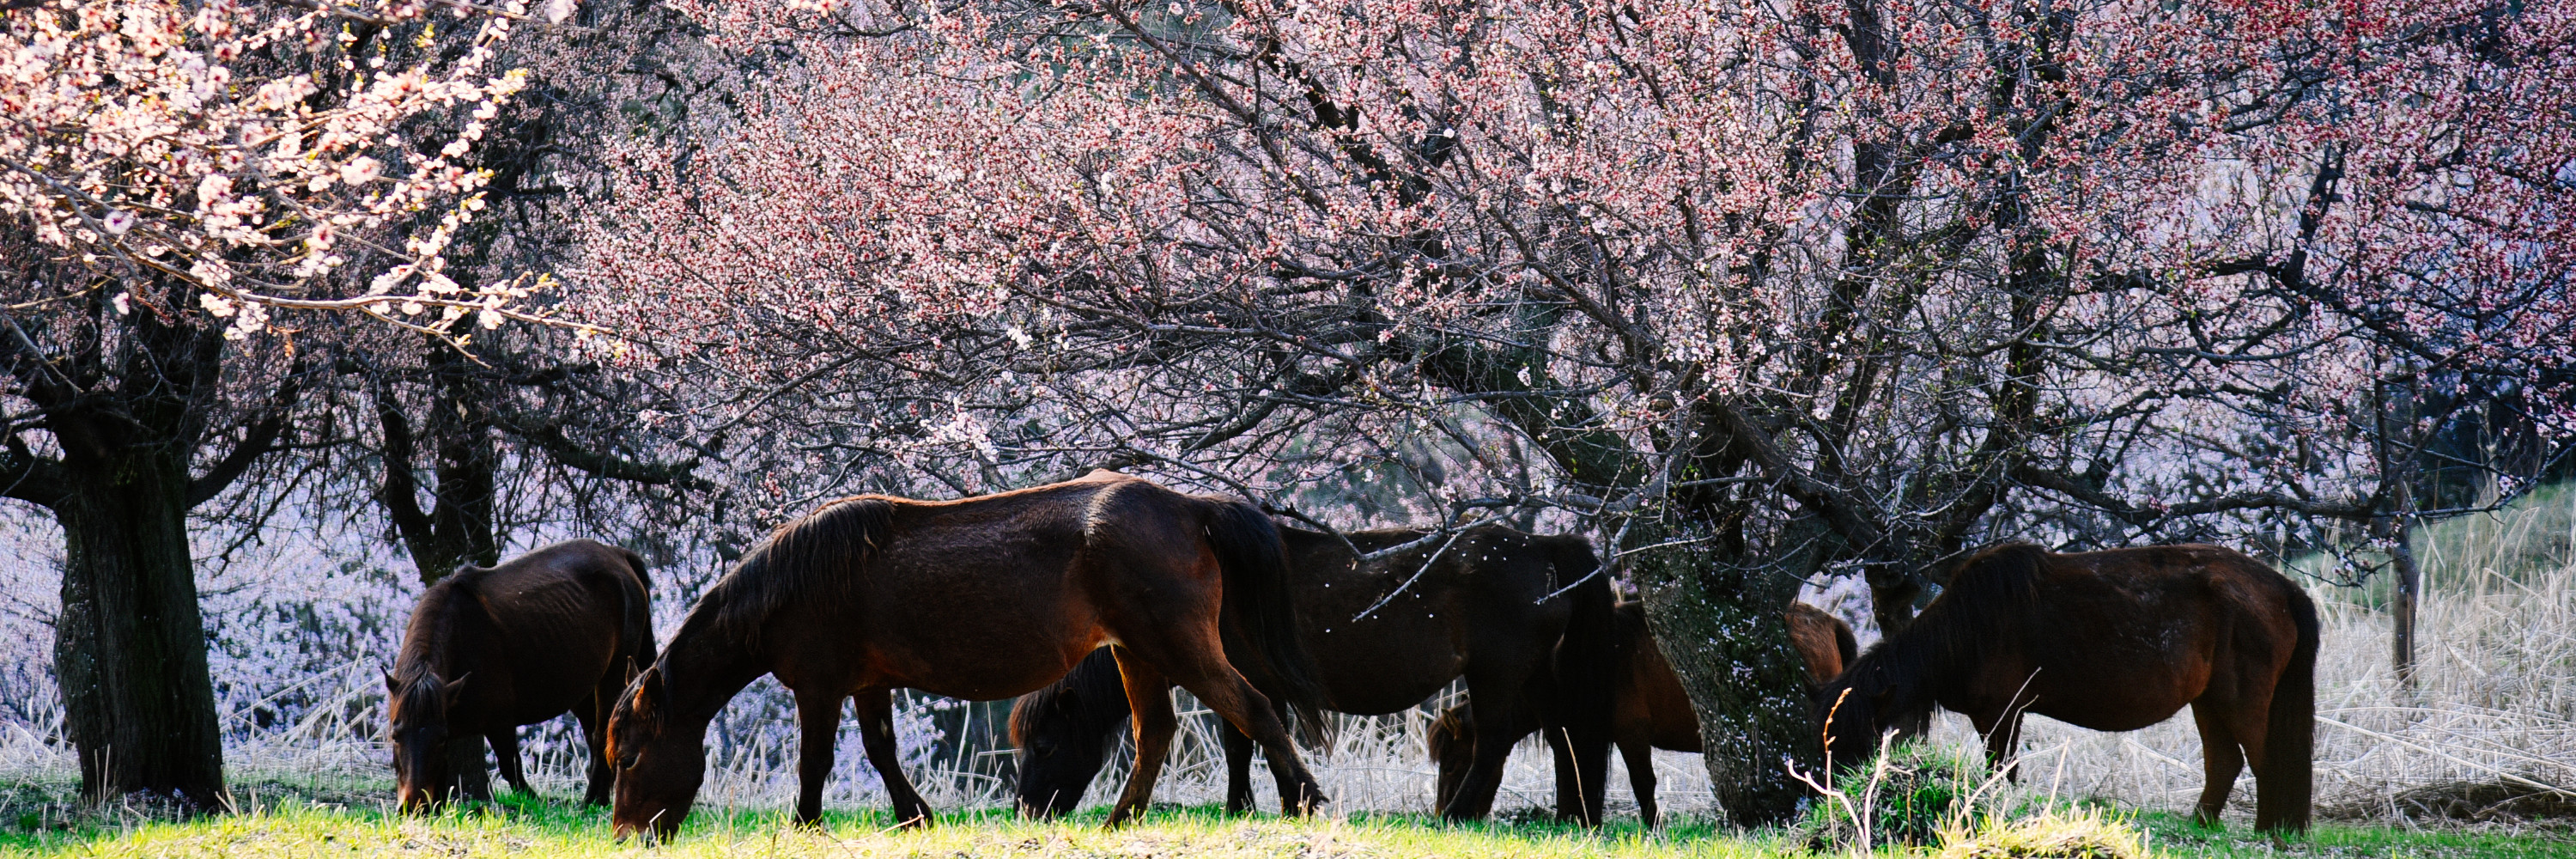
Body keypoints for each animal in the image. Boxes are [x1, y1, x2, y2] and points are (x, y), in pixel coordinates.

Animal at [389, 536, 659, 809]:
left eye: (440, 738)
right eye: (395, 735)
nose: (412, 805)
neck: (461, 634)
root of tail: (618, 554)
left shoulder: (499, 721)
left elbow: (512, 769)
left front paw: (534, 801)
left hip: (614, 674)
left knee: (602, 734)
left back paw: (593, 800)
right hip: (583, 686)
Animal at [605, 472, 1329, 840]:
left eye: (632, 757)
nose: (626, 834)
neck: (796, 582)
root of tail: (1190, 508)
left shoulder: (819, 686)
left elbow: (816, 761)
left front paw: (806, 826)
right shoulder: (867, 683)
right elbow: (881, 749)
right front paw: (915, 816)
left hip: (1175, 646)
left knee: (1254, 708)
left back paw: (1305, 800)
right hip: (1138, 653)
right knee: (1156, 733)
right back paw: (1120, 820)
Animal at [1005, 521, 1607, 825]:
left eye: (1044, 745)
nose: (1027, 810)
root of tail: (1547, 545)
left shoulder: (1245, 680)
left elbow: (1247, 739)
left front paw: (1265, 804)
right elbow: (1250, 741)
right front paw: (1257, 805)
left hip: (1497, 674)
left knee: (1496, 743)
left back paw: (1457, 814)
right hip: (1533, 675)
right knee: (1568, 737)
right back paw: (1573, 816)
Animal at [1432, 595, 1855, 825]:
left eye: (1452, 765)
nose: (1441, 813)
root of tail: (1828, 621)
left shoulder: (1631, 735)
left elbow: (1642, 785)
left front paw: (1653, 828)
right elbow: (1577, 780)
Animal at [1814, 541, 2318, 830]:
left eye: (1859, 741)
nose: (1837, 804)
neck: (1969, 627)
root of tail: (2281, 588)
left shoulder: (2000, 714)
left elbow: (2001, 772)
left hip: (2240, 700)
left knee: (2263, 761)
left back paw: (2268, 830)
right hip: (2209, 701)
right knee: (2225, 762)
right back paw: (2201, 825)